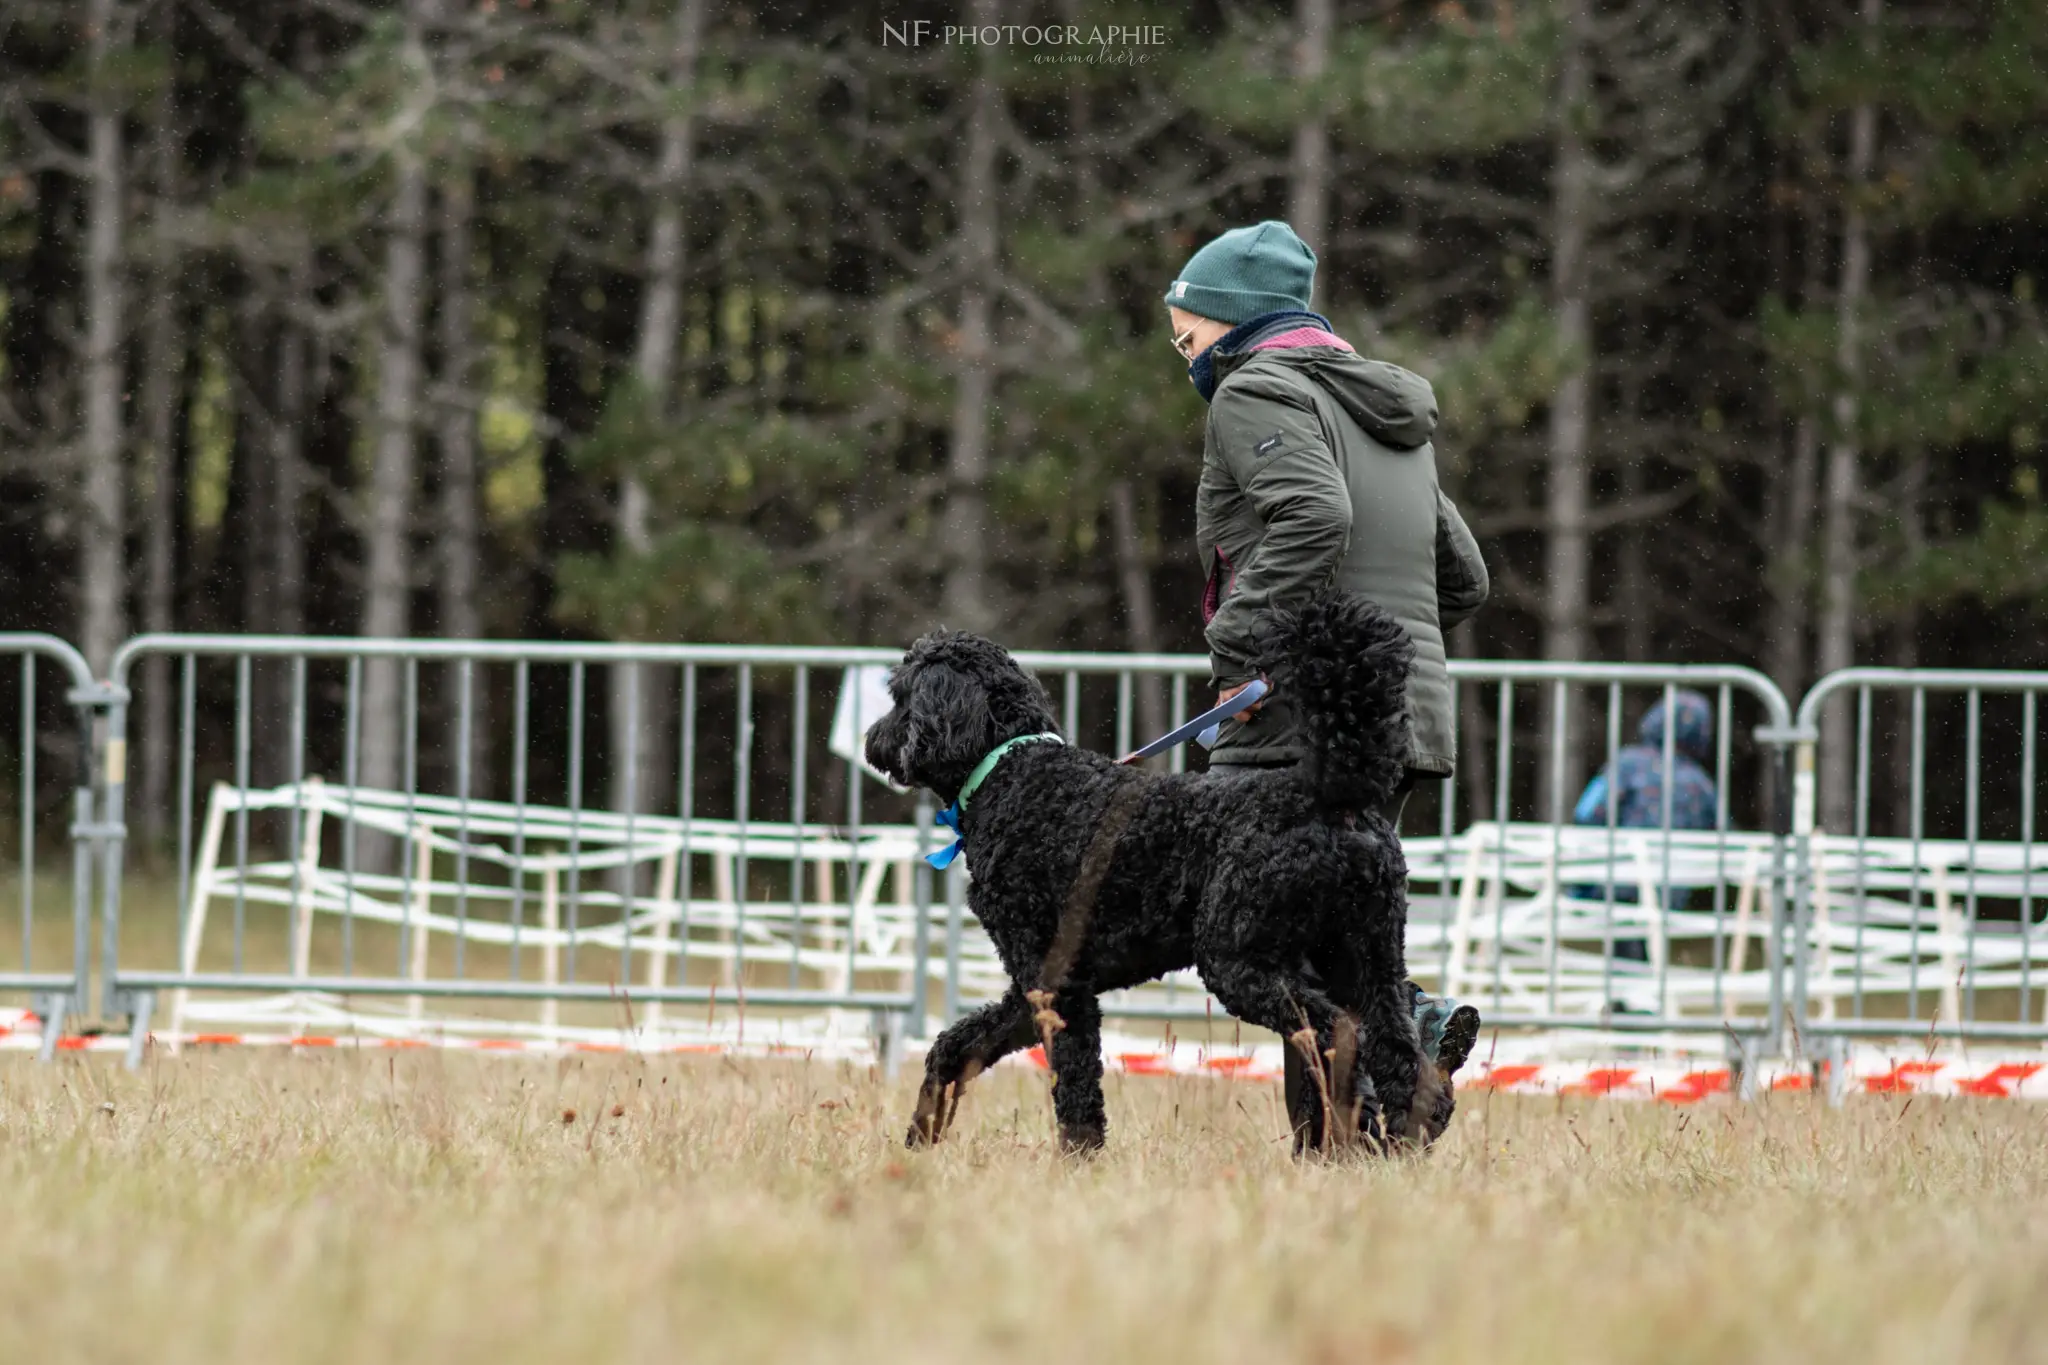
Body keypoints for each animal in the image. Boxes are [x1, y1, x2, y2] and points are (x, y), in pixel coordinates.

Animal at [868, 589, 1458, 1154]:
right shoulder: (1032, 985)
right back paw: (1404, 1135)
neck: (1012, 771)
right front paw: (921, 1136)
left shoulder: (1059, 984)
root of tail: (1329, 790)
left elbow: (1075, 1082)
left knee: (1336, 1032)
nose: (874, 738)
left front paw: (1079, 1158)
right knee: (1396, 1050)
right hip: (1369, 958)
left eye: (900, 693)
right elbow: (955, 1046)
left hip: (1240, 958)